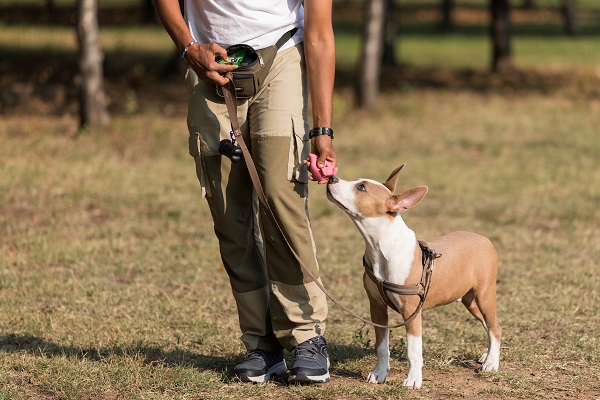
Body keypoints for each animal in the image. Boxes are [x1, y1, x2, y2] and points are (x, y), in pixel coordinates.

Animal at [326, 165, 500, 388]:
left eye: (361, 187)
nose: (331, 178)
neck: (382, 247)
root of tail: (484, 238)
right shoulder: (377, 307)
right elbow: (381, 346)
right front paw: (379, 373)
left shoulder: (411, 312)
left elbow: (413, 350)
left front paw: (413, 379)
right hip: (470, 300)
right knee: (489, 325)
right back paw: (488, 355)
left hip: (485, 295)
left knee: (495, 327)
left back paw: (492, 363)